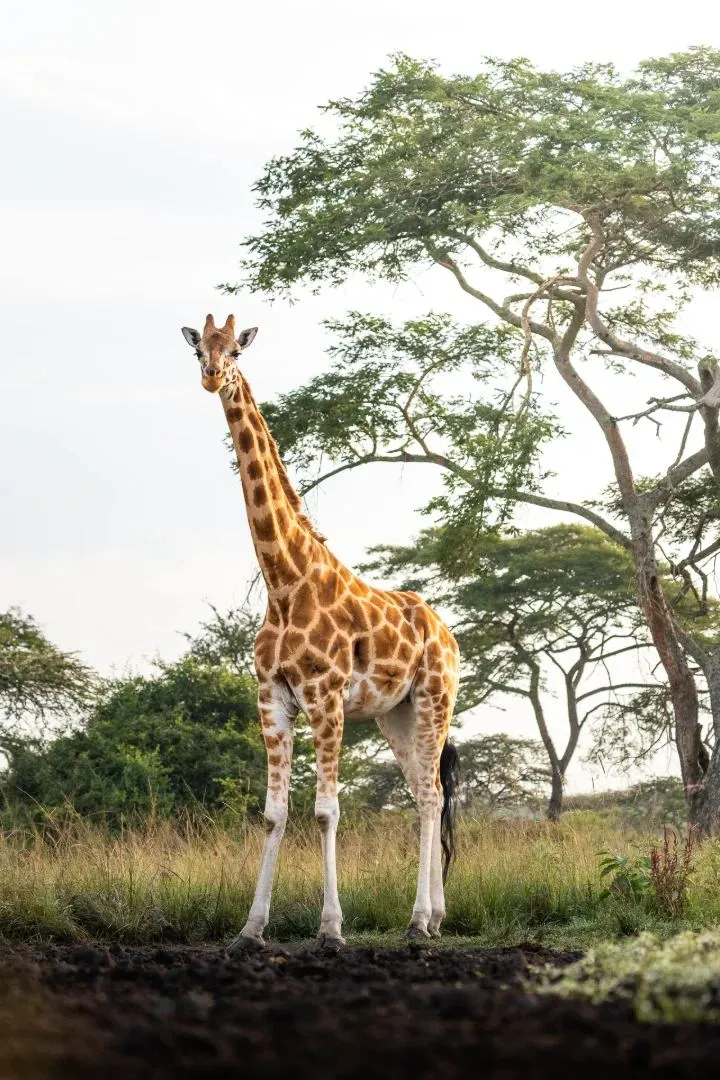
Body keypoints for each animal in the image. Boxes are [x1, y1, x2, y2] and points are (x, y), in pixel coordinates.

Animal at [181, 314, 461, 950]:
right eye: (197, 348)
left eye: (236, 350)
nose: (212, 376)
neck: (285, 583)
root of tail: (448, 633)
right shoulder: (272, 698)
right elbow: (274, 813)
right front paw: (250, 929)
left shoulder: (325, 698)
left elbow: (327, 811)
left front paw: (331, 928)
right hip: (394, 714)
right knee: (422, 793)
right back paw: (432, 918)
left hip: (436, 699)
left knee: (433, 795)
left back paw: (418, 921)